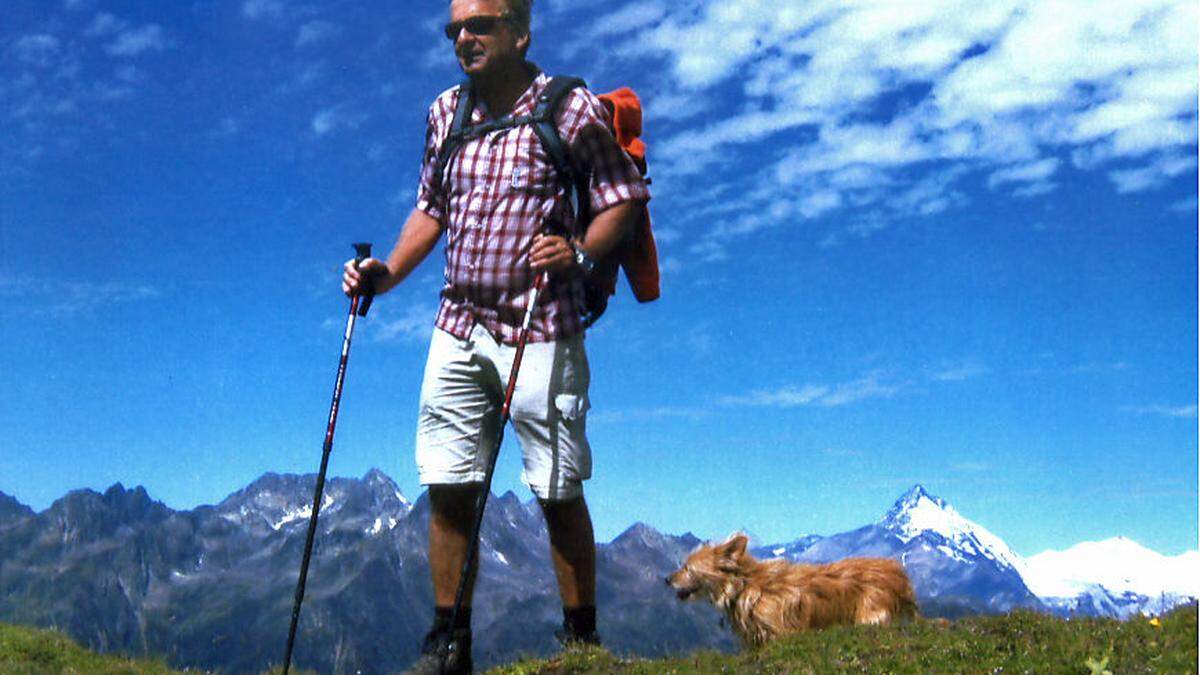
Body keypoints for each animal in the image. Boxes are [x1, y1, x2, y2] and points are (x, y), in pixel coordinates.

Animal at [667, 530, 916, 648]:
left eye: (687, 567)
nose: (666, 579)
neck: (745, 585)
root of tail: (897, 573)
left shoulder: (780, 634)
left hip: (869, 618)